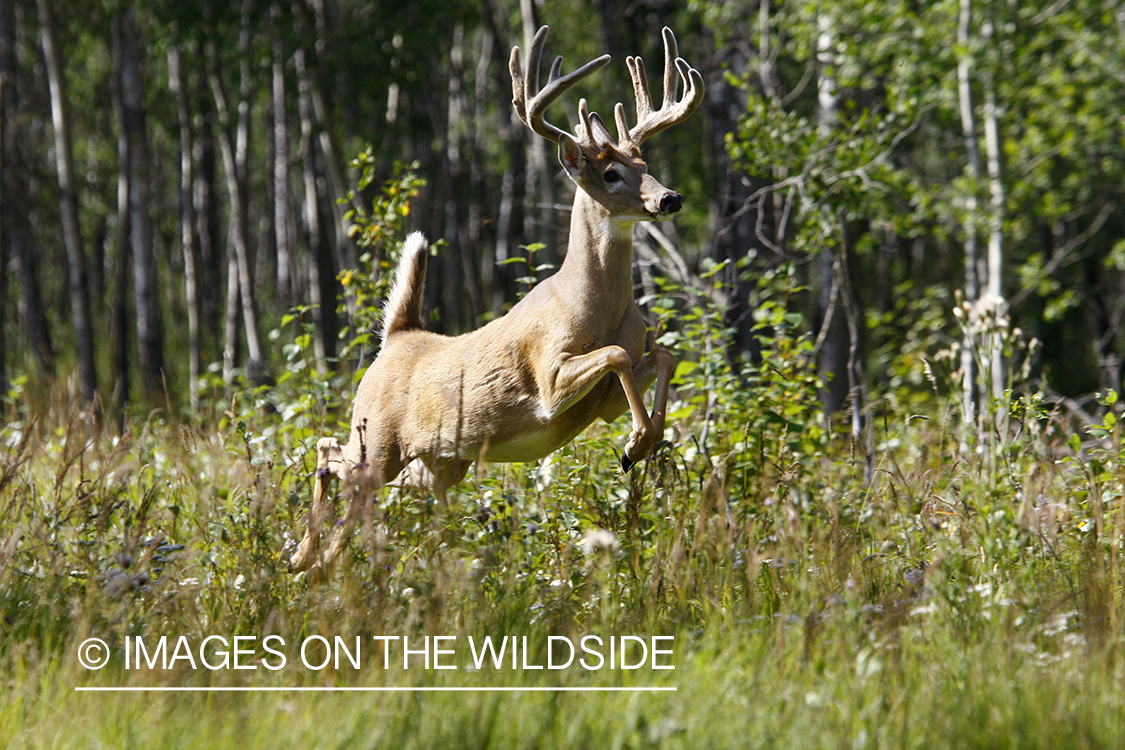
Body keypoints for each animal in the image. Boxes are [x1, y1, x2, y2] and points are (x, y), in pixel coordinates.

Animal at [288, 24, 702, 580]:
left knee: (343, 463)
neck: (598, 307)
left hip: (440, 463)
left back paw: (310, 558)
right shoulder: (550, 379)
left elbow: (662, 355)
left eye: (645, 163)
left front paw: (644, 441)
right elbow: (616, 355)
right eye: (611, 173)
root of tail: (396, 335)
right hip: (379, 440)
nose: (669, 199)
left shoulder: (605, 402)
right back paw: (309, 557)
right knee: (330, 454)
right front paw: (636, 444)